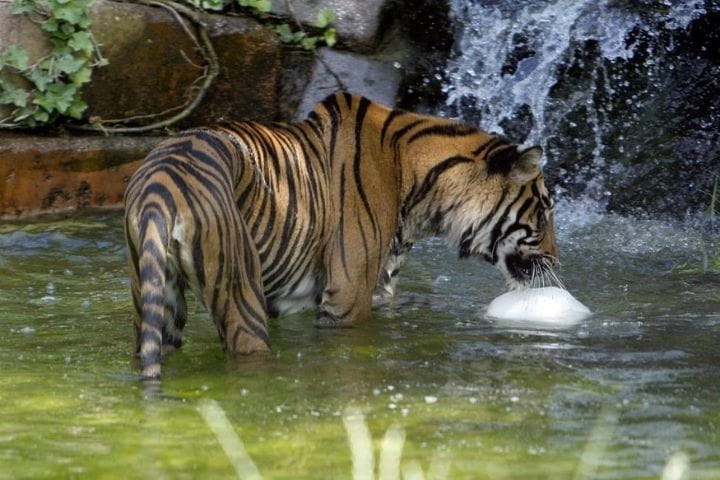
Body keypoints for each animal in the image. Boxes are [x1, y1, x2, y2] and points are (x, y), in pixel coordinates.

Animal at [124, 92, 558, 379]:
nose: (555, 260)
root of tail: (160, 185)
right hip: (240, 293)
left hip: (158, 298)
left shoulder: (377, 286)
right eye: (545, 209)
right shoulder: (348, 297)